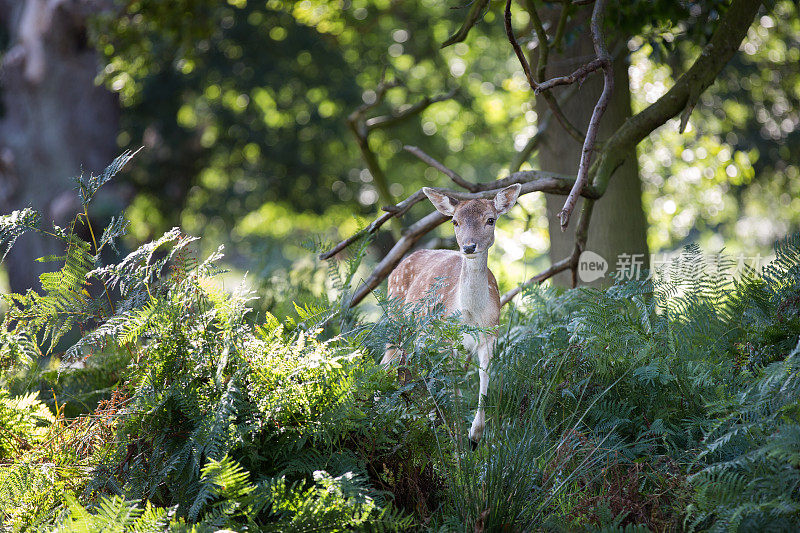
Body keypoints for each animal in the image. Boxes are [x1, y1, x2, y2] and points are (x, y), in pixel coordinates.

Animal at [382, 183, 524, 444]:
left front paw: (474, 436)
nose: (468, 246)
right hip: (396, 321)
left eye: (490, 219)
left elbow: (483, 377)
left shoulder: (490, 335)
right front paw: (456, 438)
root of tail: (399, 264)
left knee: (406, 368)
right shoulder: (447, 340)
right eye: (455, 221)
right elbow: (454, 386)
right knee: (388, 363)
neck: (471, 314)